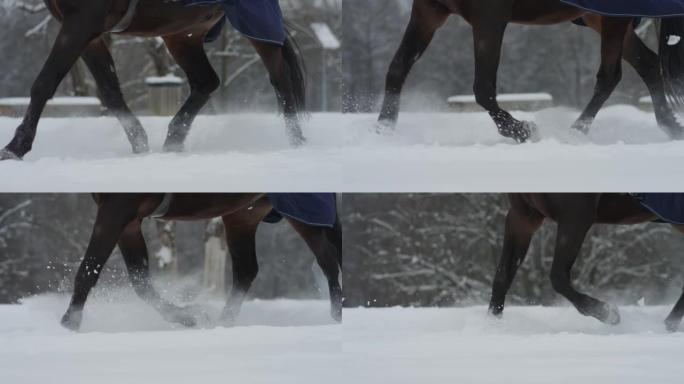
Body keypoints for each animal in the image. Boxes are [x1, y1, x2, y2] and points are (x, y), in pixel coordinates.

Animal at [0, 0, 304, 159]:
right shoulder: (89, 34)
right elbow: (110, 91)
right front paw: (140, 145)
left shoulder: (80, 23)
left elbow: (44, 83)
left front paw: (15, 147)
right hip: (183, 34)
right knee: (206, 82)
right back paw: (173, 142)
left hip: (256, 27)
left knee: (281, 80)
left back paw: (295, 141)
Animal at [60, 194, 340, 332]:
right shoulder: (128, 221)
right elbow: (141, 282)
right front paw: (186, 316)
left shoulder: (116, 209)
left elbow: (88, 269)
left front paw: (69, 324)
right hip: (242, 215)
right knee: (246, 270)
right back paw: (223, 323)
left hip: (300, 214)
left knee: (328, 261)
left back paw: (336, 321)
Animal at [380, 0, 684, 142]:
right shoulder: (427, 12)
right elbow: (397, 68)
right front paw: (384, 126)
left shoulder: (489, 18)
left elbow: (483, 88)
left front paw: (520, 130)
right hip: (598, 18)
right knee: (649, 65)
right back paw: (670, 126)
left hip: (613, 19)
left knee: (610, 76)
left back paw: (576, 132)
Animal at [488, 195, 684, 332]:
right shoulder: (523, 216)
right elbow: (502, 276)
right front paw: (493, 324)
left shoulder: (575, 216)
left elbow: (558, 277)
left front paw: (607, 313)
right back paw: (667, 326)